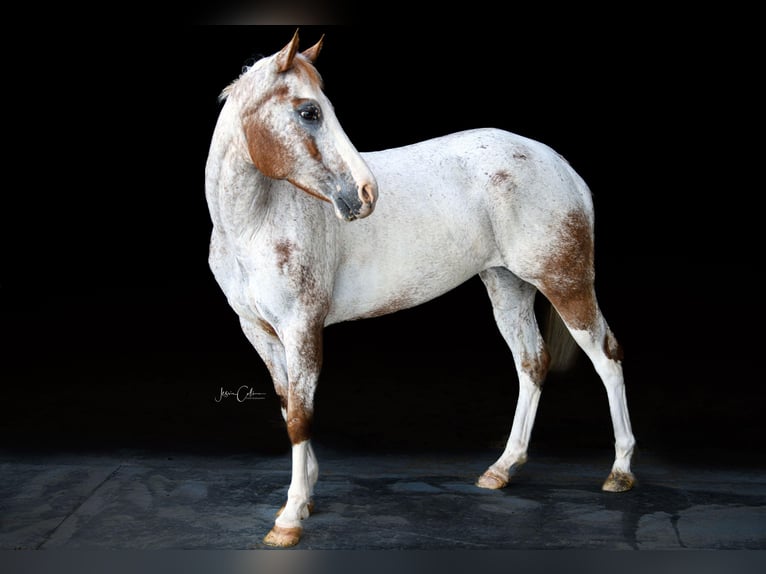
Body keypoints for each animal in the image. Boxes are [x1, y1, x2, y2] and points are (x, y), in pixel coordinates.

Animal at [202, 30, 636, 548]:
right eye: (309, 112)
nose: (365, 194)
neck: (255, 224)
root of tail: (560, 164)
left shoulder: (302, 328)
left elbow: (301, 417)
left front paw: (289, 519)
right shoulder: (259, 331)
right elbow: (290, 407)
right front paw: (304, 497)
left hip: (565, 283)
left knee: (606, 357)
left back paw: (620, 471)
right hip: (507, 287)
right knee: (532, 362)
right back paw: (502, 469)